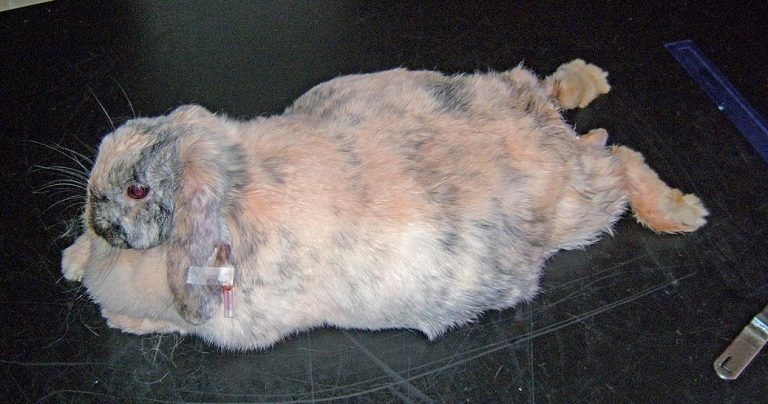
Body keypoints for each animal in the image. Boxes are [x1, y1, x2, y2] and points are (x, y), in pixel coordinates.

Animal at [61, 59, 708, 350]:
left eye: (138, 191)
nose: (93, 212)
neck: (233, 178)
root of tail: (543, 125)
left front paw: (116, 315)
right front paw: (72, 260)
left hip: (581, 208)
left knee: (621, 159)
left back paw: (680, 212)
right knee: (560, 96)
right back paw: (589, 80)